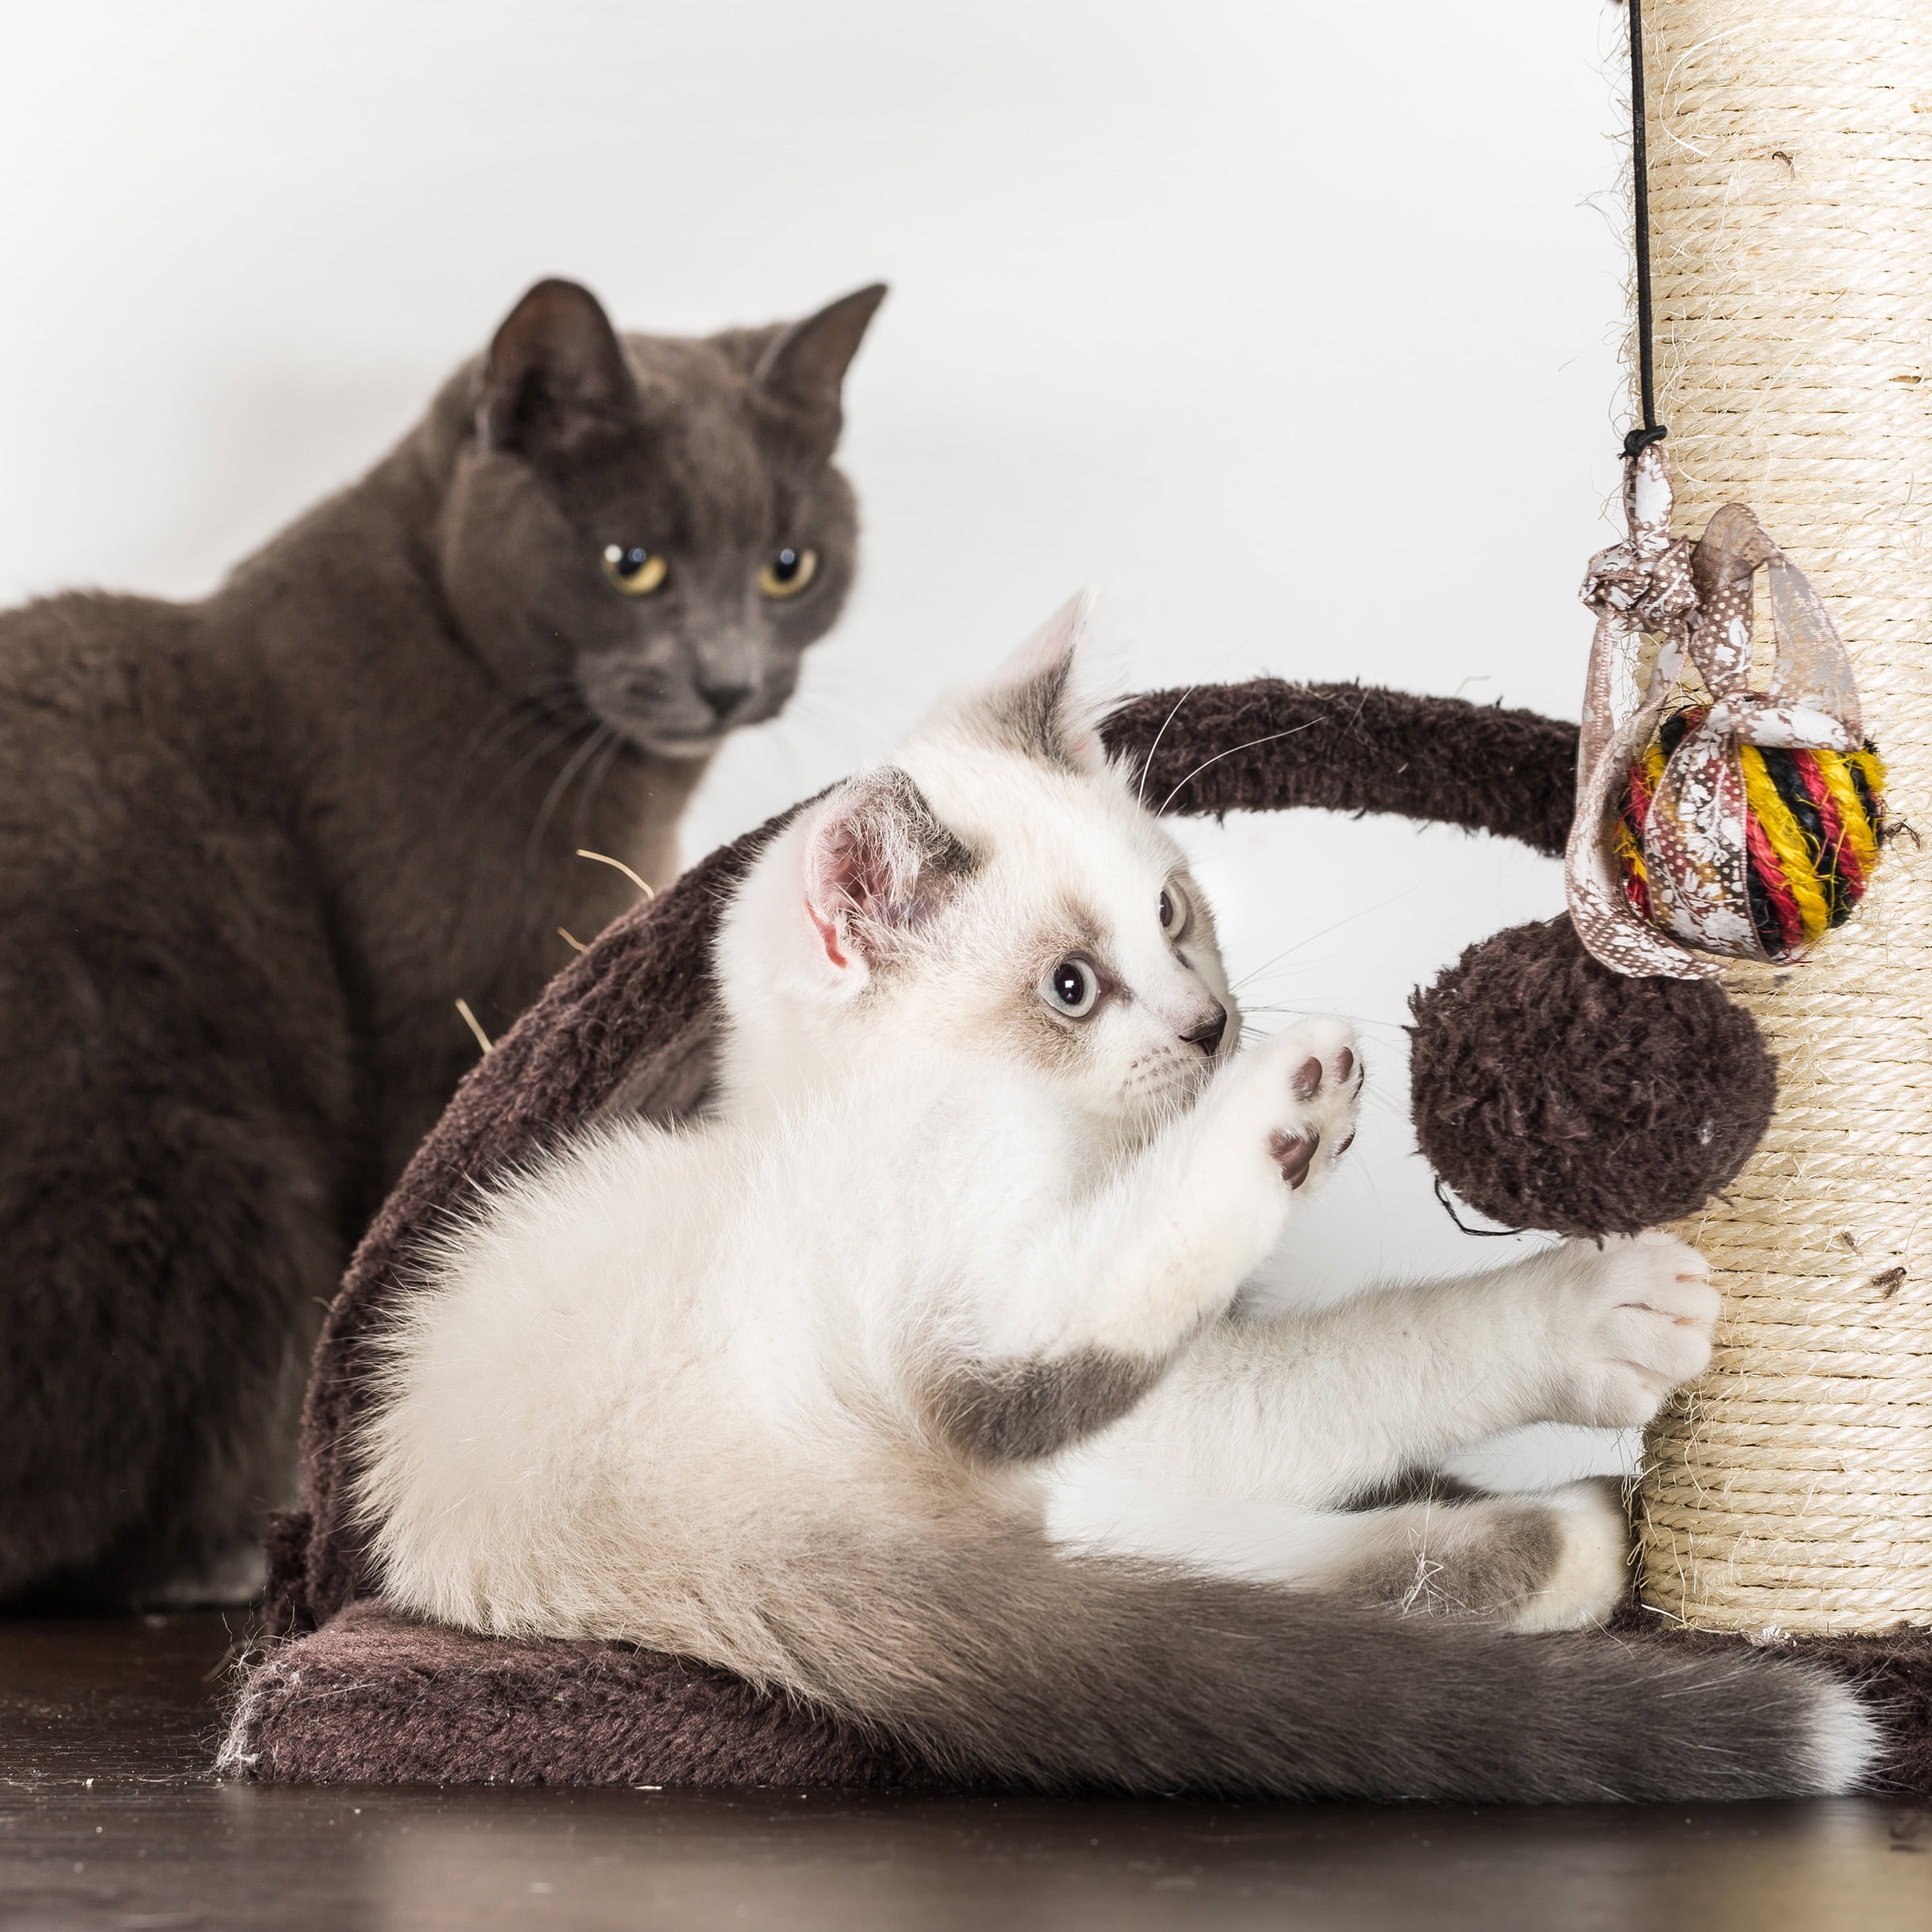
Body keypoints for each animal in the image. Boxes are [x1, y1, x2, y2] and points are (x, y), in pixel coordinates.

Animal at [359, 595, 1870, 1800]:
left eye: (1173, 913)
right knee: (1064, 1398)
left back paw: (1562, 1536)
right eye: (1072, 988)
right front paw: (1585, 1314)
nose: (1212, 1026)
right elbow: (1339, 1363)